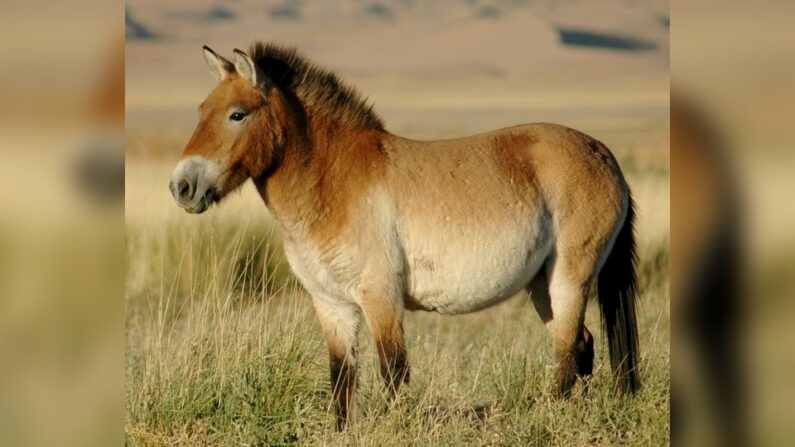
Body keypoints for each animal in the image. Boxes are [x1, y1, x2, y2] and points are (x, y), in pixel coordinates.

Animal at [168, 43, 640, 430]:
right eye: (200, 110)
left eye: (237, 114)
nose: (182, 187)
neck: (333, 182)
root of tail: (603, 154)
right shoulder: (331, 304)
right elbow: (341, 378)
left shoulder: (380, 297)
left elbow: (393, 372)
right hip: (541, 284)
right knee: (581, 345)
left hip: (569, 279)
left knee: (567, 353)